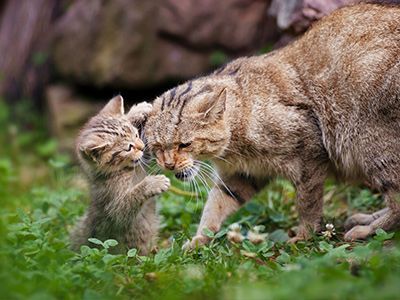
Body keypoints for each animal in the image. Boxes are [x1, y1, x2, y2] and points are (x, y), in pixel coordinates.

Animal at [71, 96, 170, 255]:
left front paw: (136, 112)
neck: (124, 171)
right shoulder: (114, 206)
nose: (142, 146)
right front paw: (153, 184)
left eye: (136, 134)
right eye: (128, 147)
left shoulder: (143, 159)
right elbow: (127, 204)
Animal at [145, 3, 400, 248]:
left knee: (397, 200)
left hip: (370, 144)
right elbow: (216, 204)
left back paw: (366, 229)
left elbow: (307, 203)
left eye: (184, 144)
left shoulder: (309, 156)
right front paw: (200, 239)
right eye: (156, 147)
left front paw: (304, 235)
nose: (168, 164)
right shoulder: (242, 175)